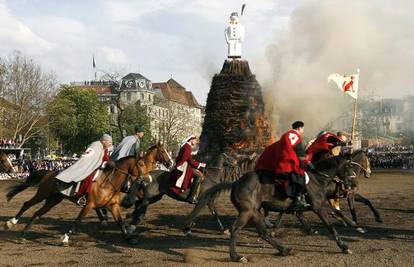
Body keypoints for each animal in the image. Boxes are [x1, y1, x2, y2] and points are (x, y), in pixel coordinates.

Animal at [4, 156, 150, 246]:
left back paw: (23, 235)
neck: (108, 183)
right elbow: (78, 221)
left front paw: (129, 238)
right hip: (43, 194)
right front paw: (65, 239)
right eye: (141, 164)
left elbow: (120, 222)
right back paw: (11, 223)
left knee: (37, 214)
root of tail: (49, 173)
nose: (148, 179)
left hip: (53, 200)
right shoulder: (89, 205)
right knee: (27, 204)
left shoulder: (113, 206)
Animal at [185, 156, 356, 262]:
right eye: (348, 166)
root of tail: (235, 183)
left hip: (255, 213)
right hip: (247, 212)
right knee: (235, 230)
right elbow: (330, 225)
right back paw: (236, 256)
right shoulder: (318, 207)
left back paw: (284, 249)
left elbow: (337, 212)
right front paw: (344, 246)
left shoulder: (319, 205)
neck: (317, 179)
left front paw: (354, 225)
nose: (353, 184)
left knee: (263, 233)